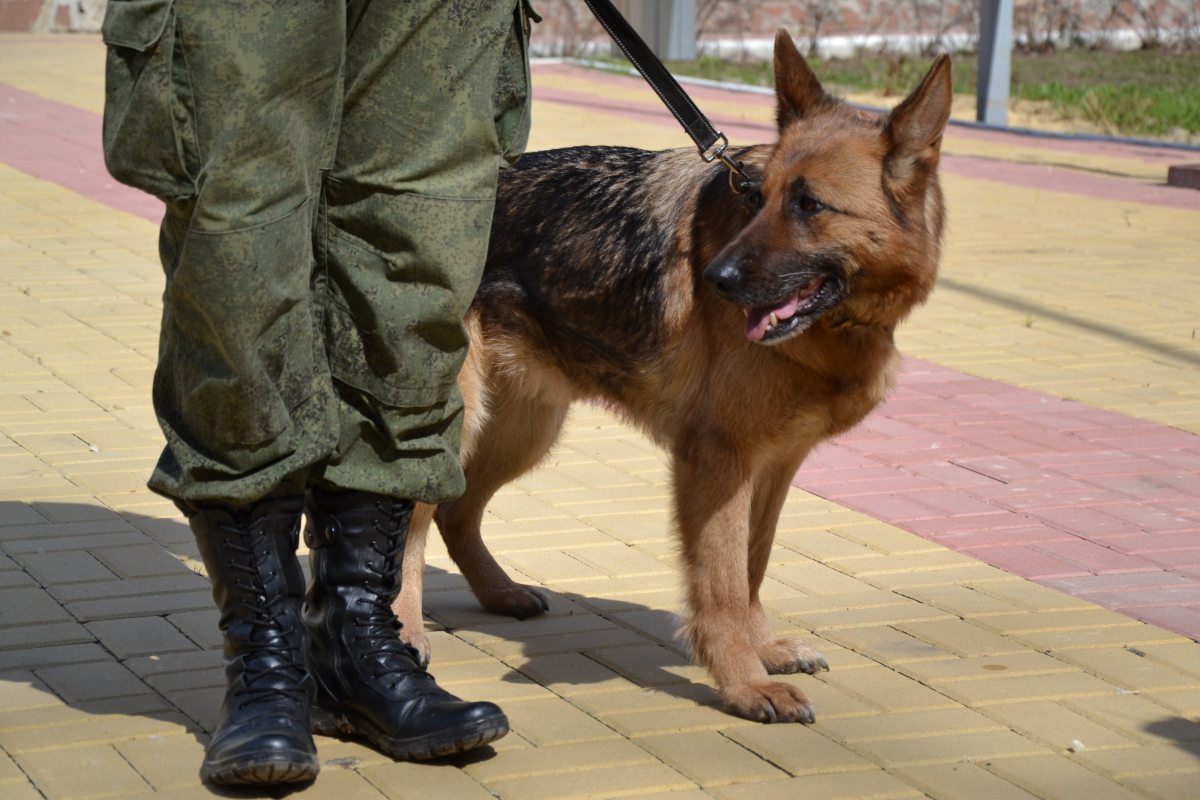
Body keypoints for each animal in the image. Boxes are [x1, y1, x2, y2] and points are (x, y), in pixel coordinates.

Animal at [398, 31, 950, 724]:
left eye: (809, 206)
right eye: (755, 198)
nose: (716, 279)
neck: (842, 327)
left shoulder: (773, 465)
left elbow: (751, 566)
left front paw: (762, 649)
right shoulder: (717, 461)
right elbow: (722, 583)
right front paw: (743, 681)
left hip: (525, 428)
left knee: (456, 509)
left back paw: (500, 594)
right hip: (460, 422)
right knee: (408, 521)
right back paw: (403, 632)